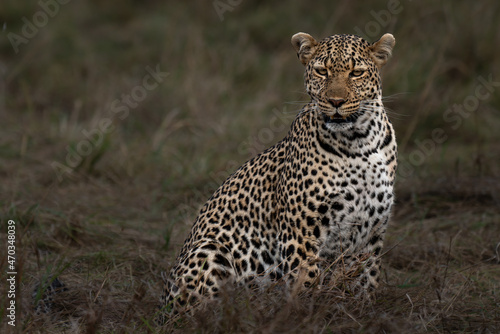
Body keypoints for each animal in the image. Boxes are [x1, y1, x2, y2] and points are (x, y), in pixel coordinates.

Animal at [158, 31, 396, 318]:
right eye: (321, 71)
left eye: (356, 73)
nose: (336, 102)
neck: (358, 142)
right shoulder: (301, 232)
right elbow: (305, 280)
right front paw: (304, 315)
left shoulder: (371, 232)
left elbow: (366, 279)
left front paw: (362, 312)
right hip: (209, 250)